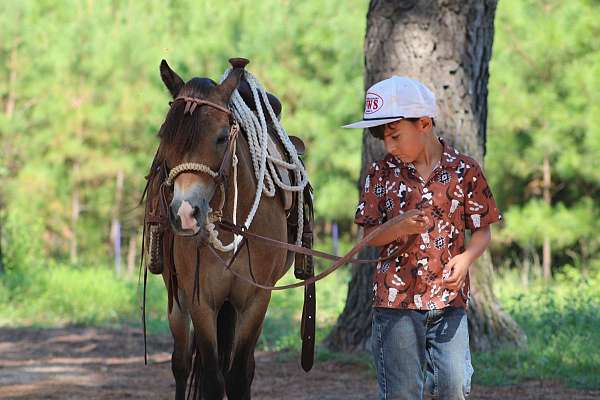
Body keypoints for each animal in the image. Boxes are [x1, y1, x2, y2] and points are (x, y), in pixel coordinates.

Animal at [145, 60, 296, 400]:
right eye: (164, 136)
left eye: (221, 137)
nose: (185, 214)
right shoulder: (201, 300)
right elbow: (213, 379)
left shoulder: (256, 300)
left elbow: (238, 375)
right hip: (177, 297)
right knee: (180, 363)